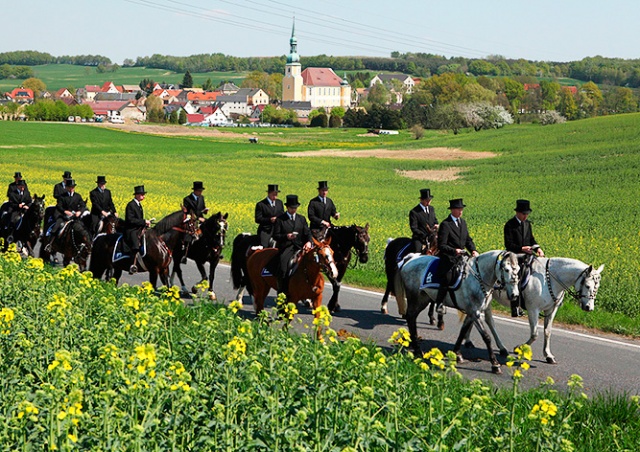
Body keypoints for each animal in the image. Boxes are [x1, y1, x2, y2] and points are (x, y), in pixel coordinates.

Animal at [476, 258, 604, 364]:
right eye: (587, 286)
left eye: (597, 287)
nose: (589, 308)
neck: (549, 280)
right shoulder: (533, 310)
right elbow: (534, 334)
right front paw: (519, 348)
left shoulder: (551, 310)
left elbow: (547, 332)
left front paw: (548, 355)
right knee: (489, 321)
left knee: (488, 320)